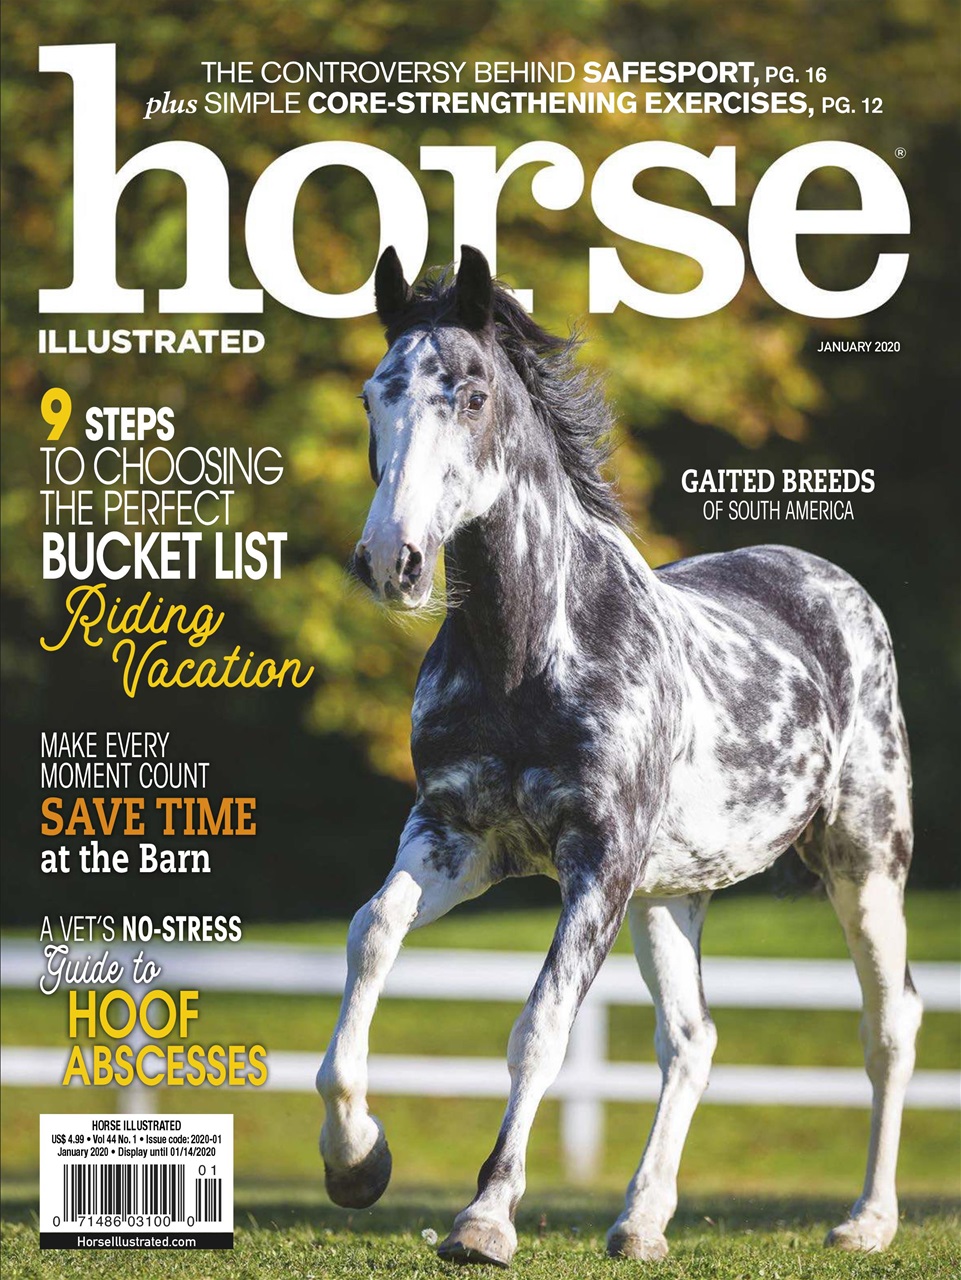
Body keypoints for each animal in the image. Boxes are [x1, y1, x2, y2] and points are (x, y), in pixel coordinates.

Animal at [316, 245, 920, 1266]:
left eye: (471, 393)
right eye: (371, 395)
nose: (390, 561)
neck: (529, 655)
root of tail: (826, 579)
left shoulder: (596, 859)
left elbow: (542, 1024)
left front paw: (484, 1218)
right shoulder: (456, 838)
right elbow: (372, 933)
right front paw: (358, 1160)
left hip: (862, 860)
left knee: (888, 1022)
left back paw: (864, 1222)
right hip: (670, 892)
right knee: (691, 1038)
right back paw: (639, 1222)